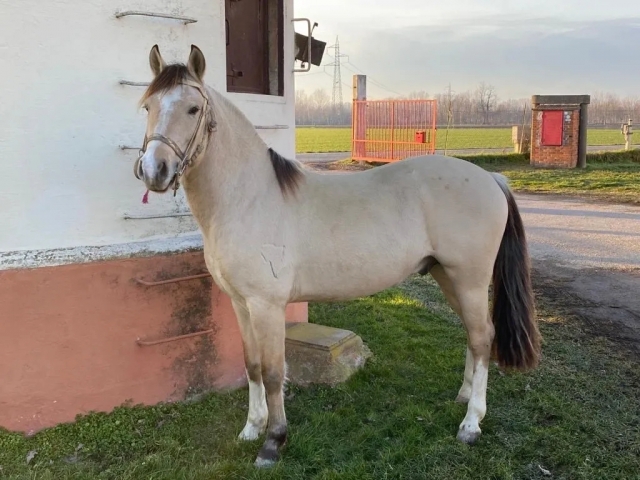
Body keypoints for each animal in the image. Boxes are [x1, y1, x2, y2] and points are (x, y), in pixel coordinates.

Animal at [133, 44, 541, 468]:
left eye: (193, 108)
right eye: (147, 106)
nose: (154, 170)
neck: (247, 198)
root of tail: (489, 178)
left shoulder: (267, 306)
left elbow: (274, 371)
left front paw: (273, 441)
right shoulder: (241, 304)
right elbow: (252, 366)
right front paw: (251, 429)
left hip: (471, 280)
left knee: (482, 337)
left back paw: (471, 423)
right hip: (448, 277)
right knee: (474, 336)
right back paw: (463, 397)